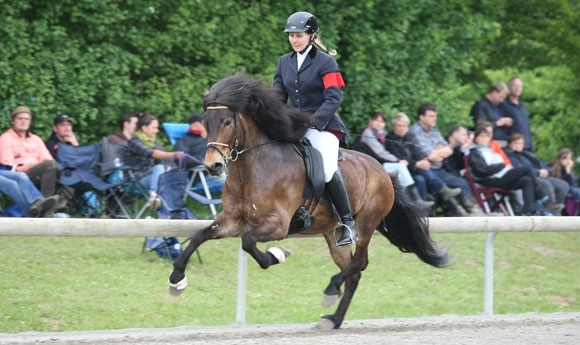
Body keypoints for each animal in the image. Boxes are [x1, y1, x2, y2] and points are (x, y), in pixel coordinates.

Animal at [168, 73, 448, 328]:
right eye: (205, 122)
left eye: (227, 121)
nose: (213, 166)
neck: (253, 169)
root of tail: (382, 169)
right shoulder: (232, 221)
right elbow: (200, 235)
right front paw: (177, 279)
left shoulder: (278, 225)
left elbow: (249, 242)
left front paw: (277, 254)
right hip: (333, 234)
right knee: (353, 272)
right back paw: (334, 318)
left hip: (366, 223)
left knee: (360, 262)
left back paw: (331, 290)